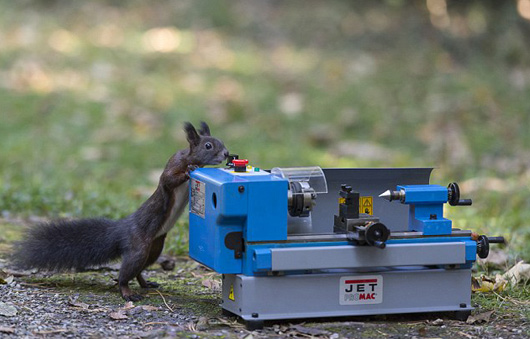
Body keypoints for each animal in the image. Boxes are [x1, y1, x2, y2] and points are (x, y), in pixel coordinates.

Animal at [12, 122, 227, 302]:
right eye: (208, 146)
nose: (226, 153)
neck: (188, 155)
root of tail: (121, 230)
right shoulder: (173, 166)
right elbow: (169, 180)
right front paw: (190, 169)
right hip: (138, 248)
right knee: (125, 274)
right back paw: (127, 292)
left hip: (155, 247)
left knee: (139, 269)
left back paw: (145, 283)